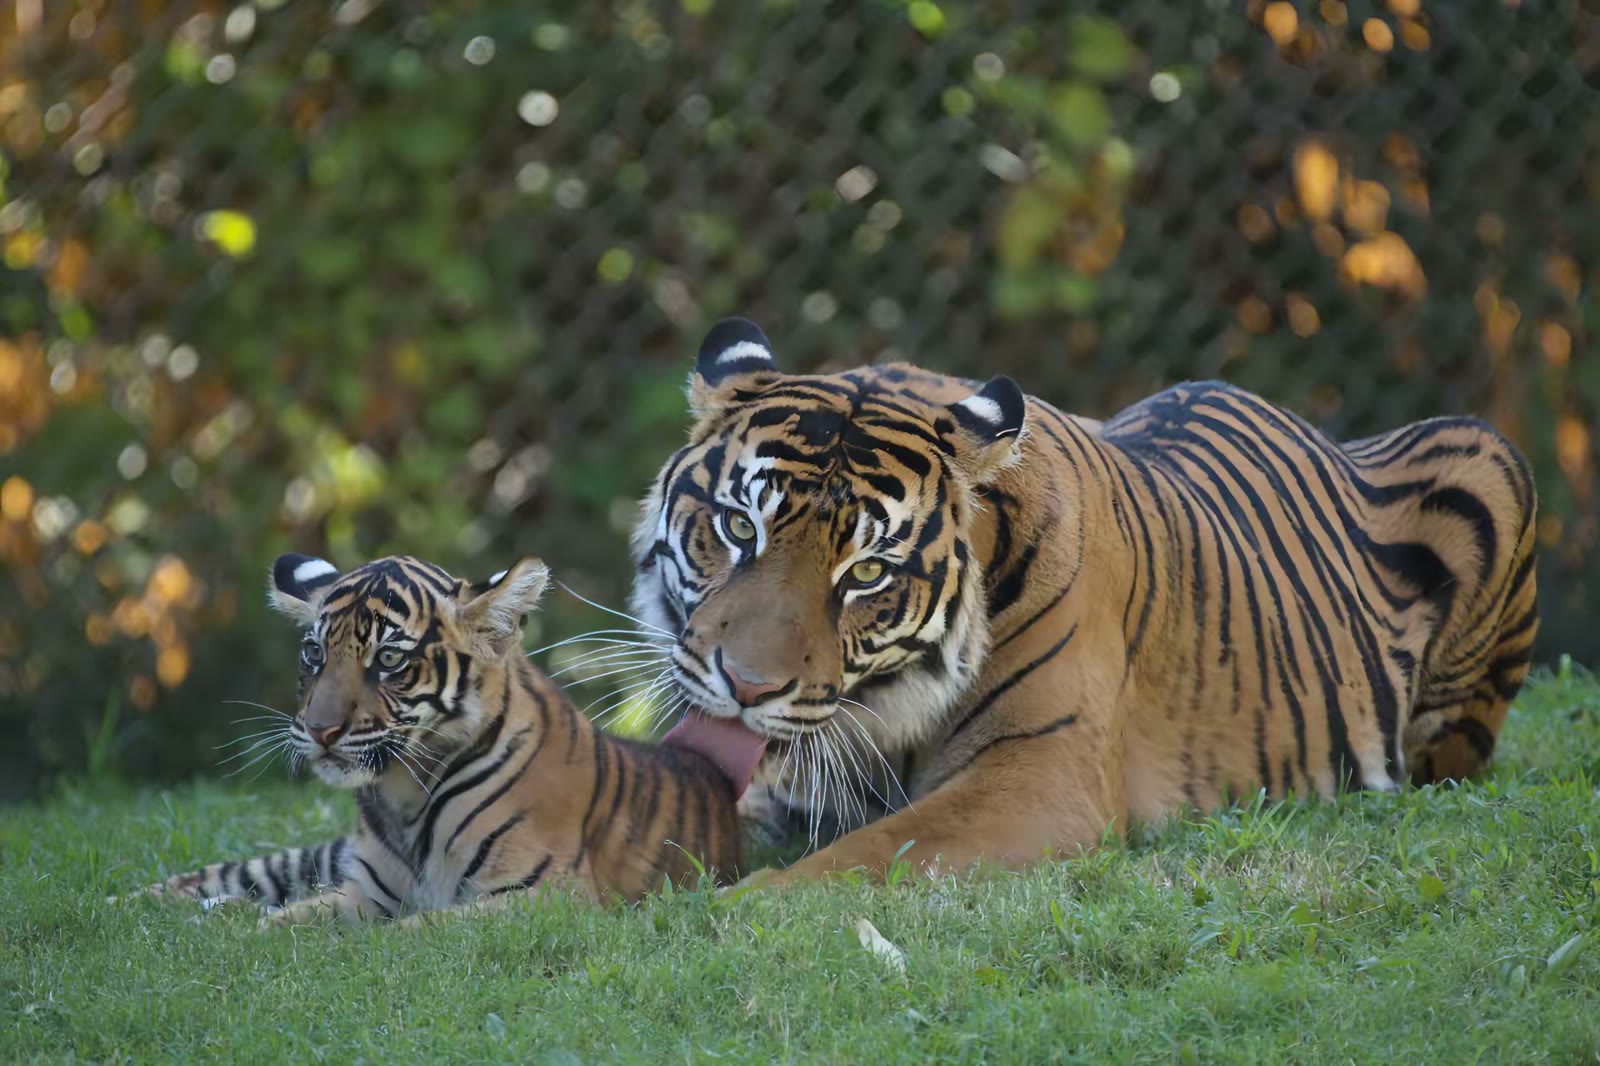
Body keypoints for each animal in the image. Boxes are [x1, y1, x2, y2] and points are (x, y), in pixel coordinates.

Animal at [121, 553, 744, 924]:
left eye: (388, 659)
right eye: (314, 653)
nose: (320, 730)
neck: (403, 794)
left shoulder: (544, 895)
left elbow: (416, 928)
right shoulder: (362, 891)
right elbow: (291, 918)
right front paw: (239, 929)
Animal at [634, 317, 1540, 888]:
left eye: (866, 573)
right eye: (739, 525)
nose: (749, 688)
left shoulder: (1040, 781)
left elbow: (860, 857)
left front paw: (731, 914)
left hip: (1488, 455)